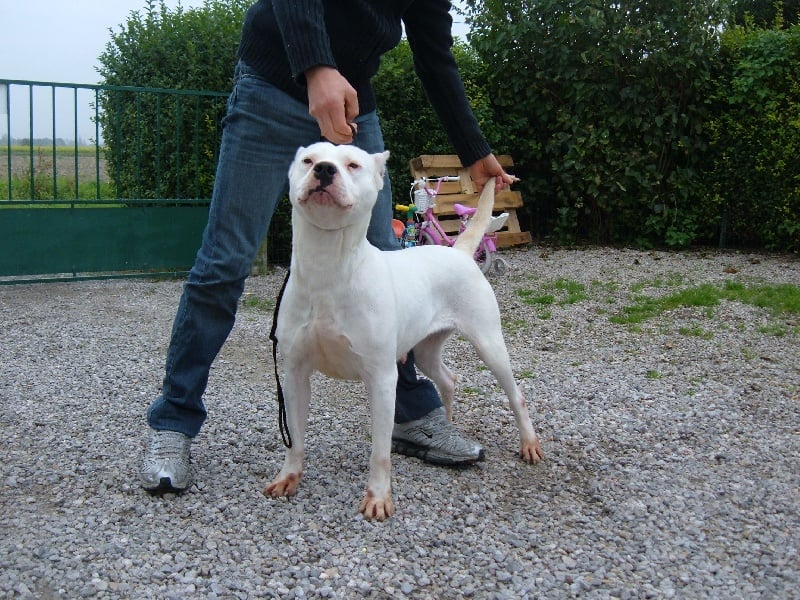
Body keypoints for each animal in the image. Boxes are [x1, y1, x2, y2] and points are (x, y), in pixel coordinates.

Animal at [264, 142, 543, 520]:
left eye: (353, 164)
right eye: (308, 160)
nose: (323, 170)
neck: (328, 269)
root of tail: (459, 252)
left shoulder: (382, 378)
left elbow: (380, 450)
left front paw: (378, 498)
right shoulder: (294, 375)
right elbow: (295, 436)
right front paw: (288, 478)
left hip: (489, 343)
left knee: (516, 395)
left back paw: (529, 444)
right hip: (425, 349)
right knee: (447, 379)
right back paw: (448, 421)